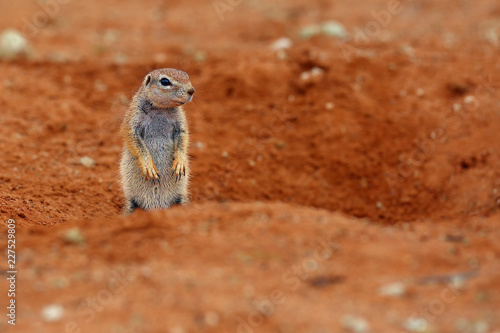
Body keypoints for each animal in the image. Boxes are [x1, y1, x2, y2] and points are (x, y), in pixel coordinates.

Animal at [118, 68, 193, 213]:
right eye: (165, 81)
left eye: (187, 76)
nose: (192, 90)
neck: (160, 109)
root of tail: (156, 207)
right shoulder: (132, 118)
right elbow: (133, 138)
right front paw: (149, 166)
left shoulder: (180, 122)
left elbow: (183, 137)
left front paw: (180, 162)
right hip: (131, 201)